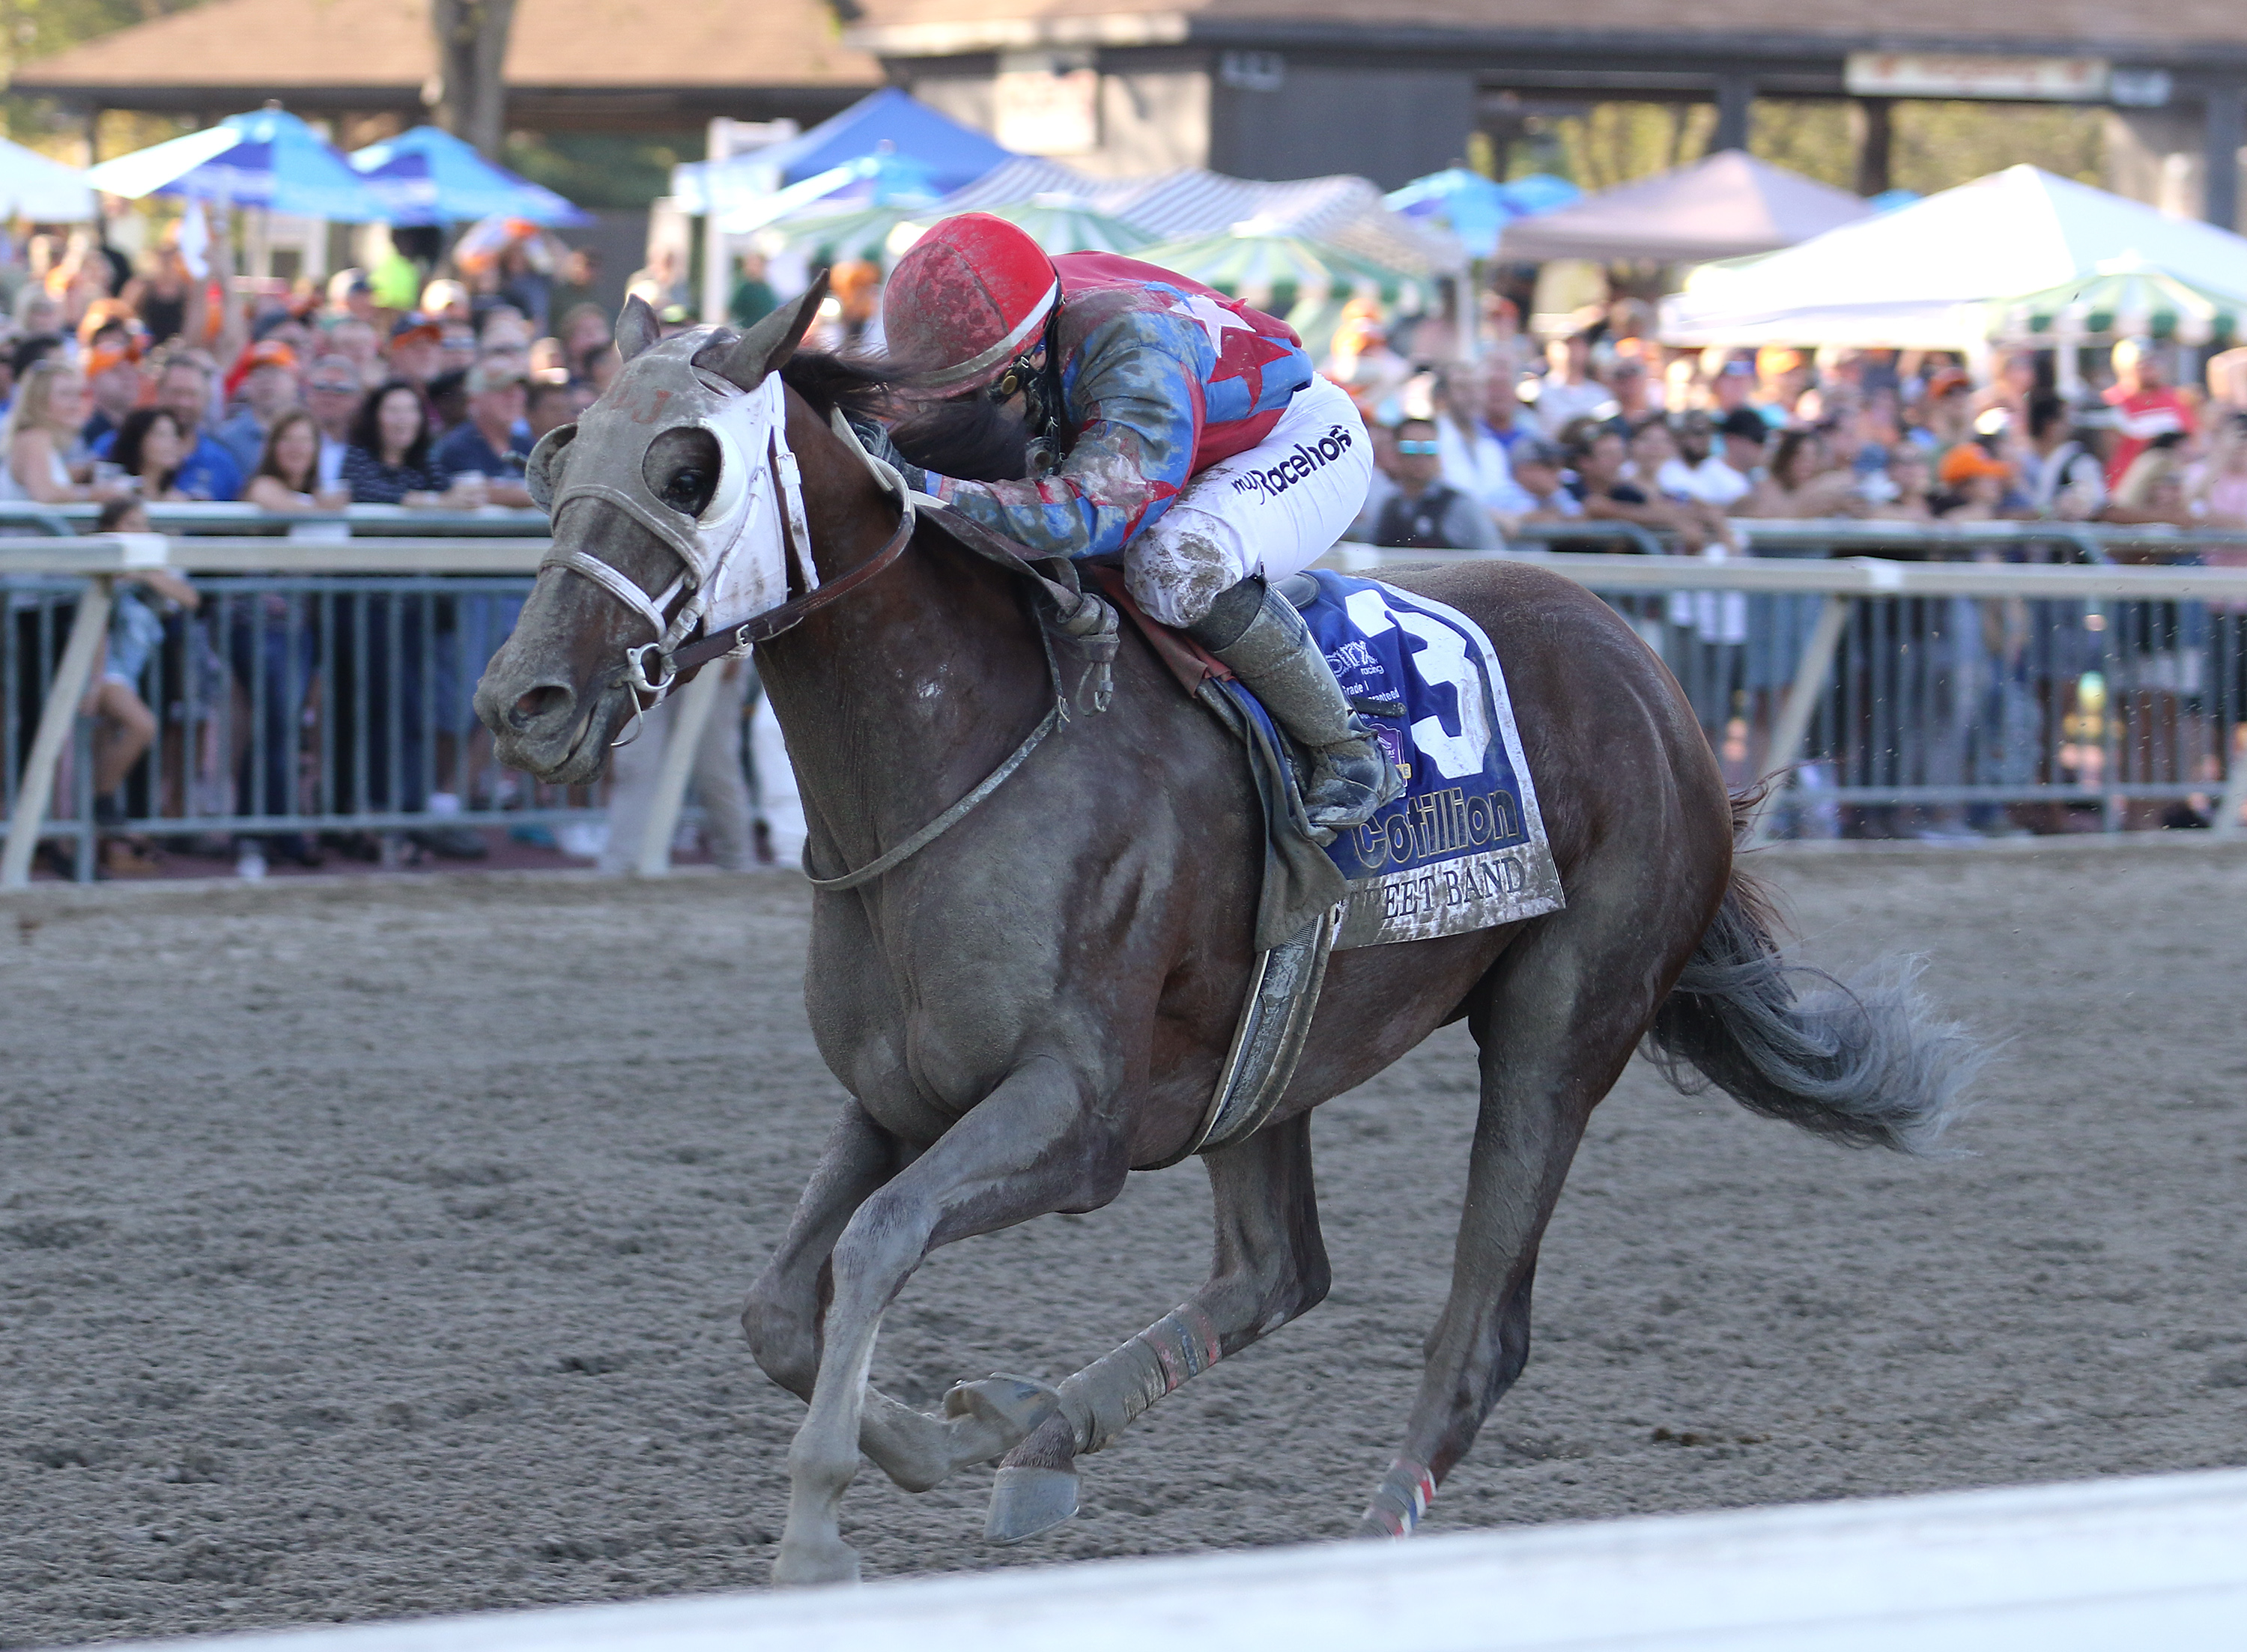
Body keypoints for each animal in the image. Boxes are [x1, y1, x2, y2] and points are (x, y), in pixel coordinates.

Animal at [479, 294, 1986, 1591]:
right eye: (560, 451)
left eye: (688, 469)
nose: (523, 700)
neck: (962, 749)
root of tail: (1655, 675)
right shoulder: (897, 1094)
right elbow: (784, 1301)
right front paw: (966, 1429)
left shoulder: (1075, 1115)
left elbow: (878, 1240)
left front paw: (816, 1540)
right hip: (1271, 1052)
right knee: (1278, 1272)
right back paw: (1043, 1441)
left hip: (1559, 1031)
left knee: (1480, 1327)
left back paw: (1364, 1535)